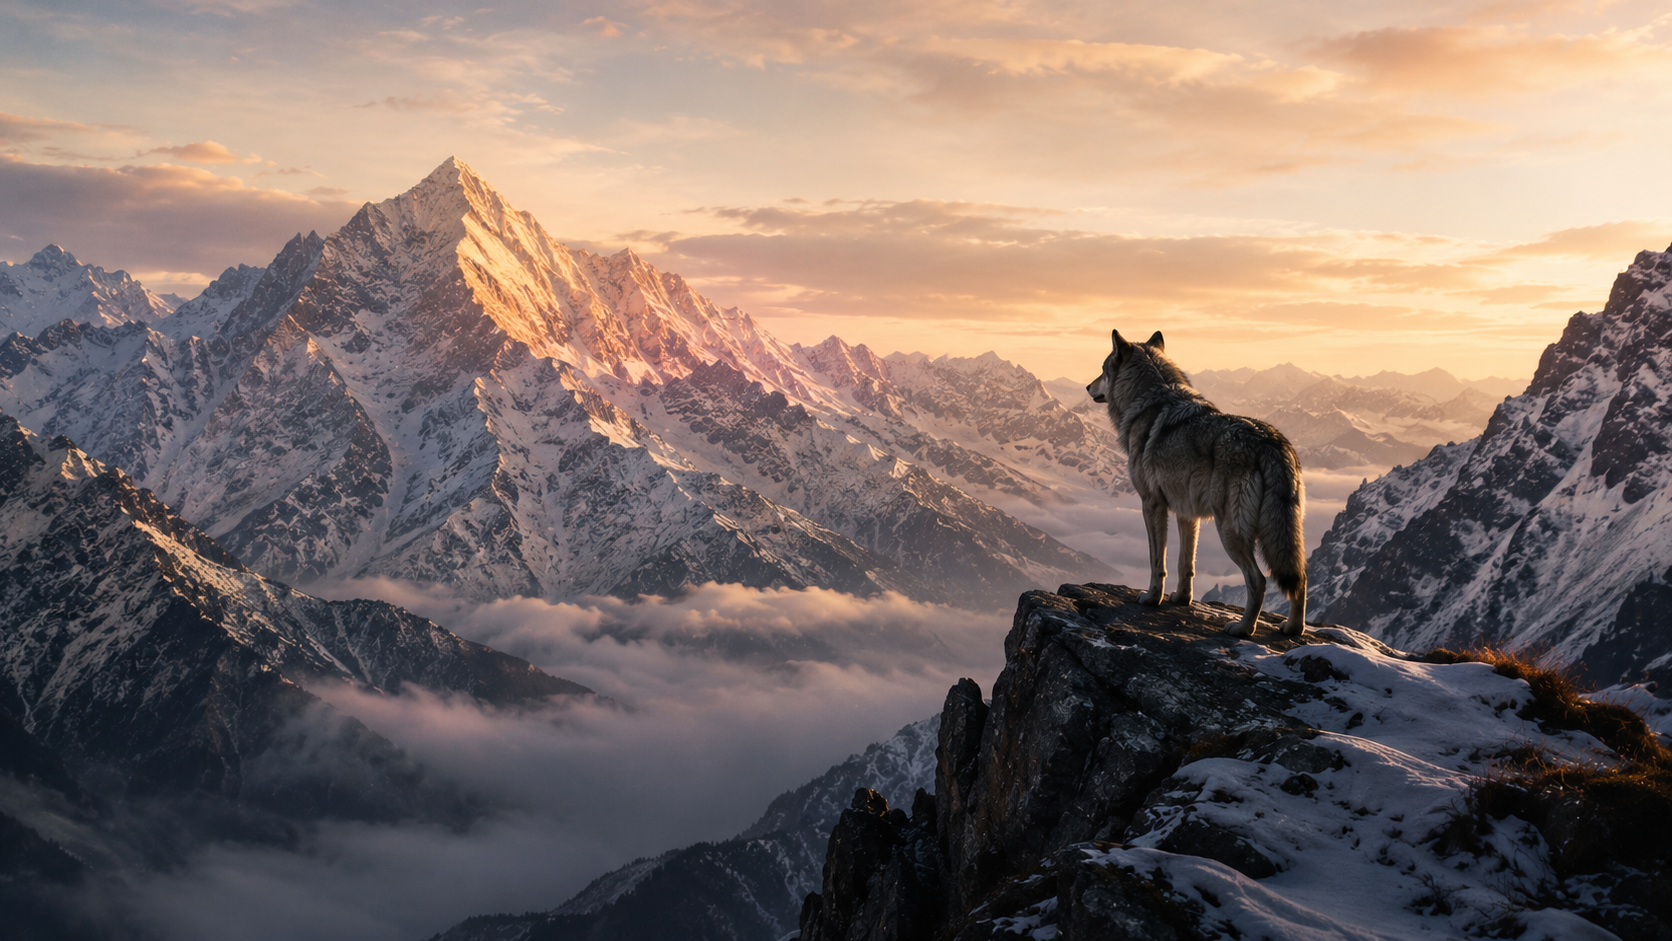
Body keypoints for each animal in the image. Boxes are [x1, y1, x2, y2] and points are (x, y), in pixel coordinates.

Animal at [1087, 329, 1307, 637]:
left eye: (1102, 369)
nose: (1087, 386)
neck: (1149, 399)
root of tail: (1270, 443)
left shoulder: (1151, 505)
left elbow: (1157, 561)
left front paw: (1151, 598)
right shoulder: (1186, 513)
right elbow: (1185, 563)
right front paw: (1181, 599)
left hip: (1229, 531)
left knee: (1259, 580)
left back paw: (1242, 629)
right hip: (1283, 533)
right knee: (1300, 578)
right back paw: (1293, 628)